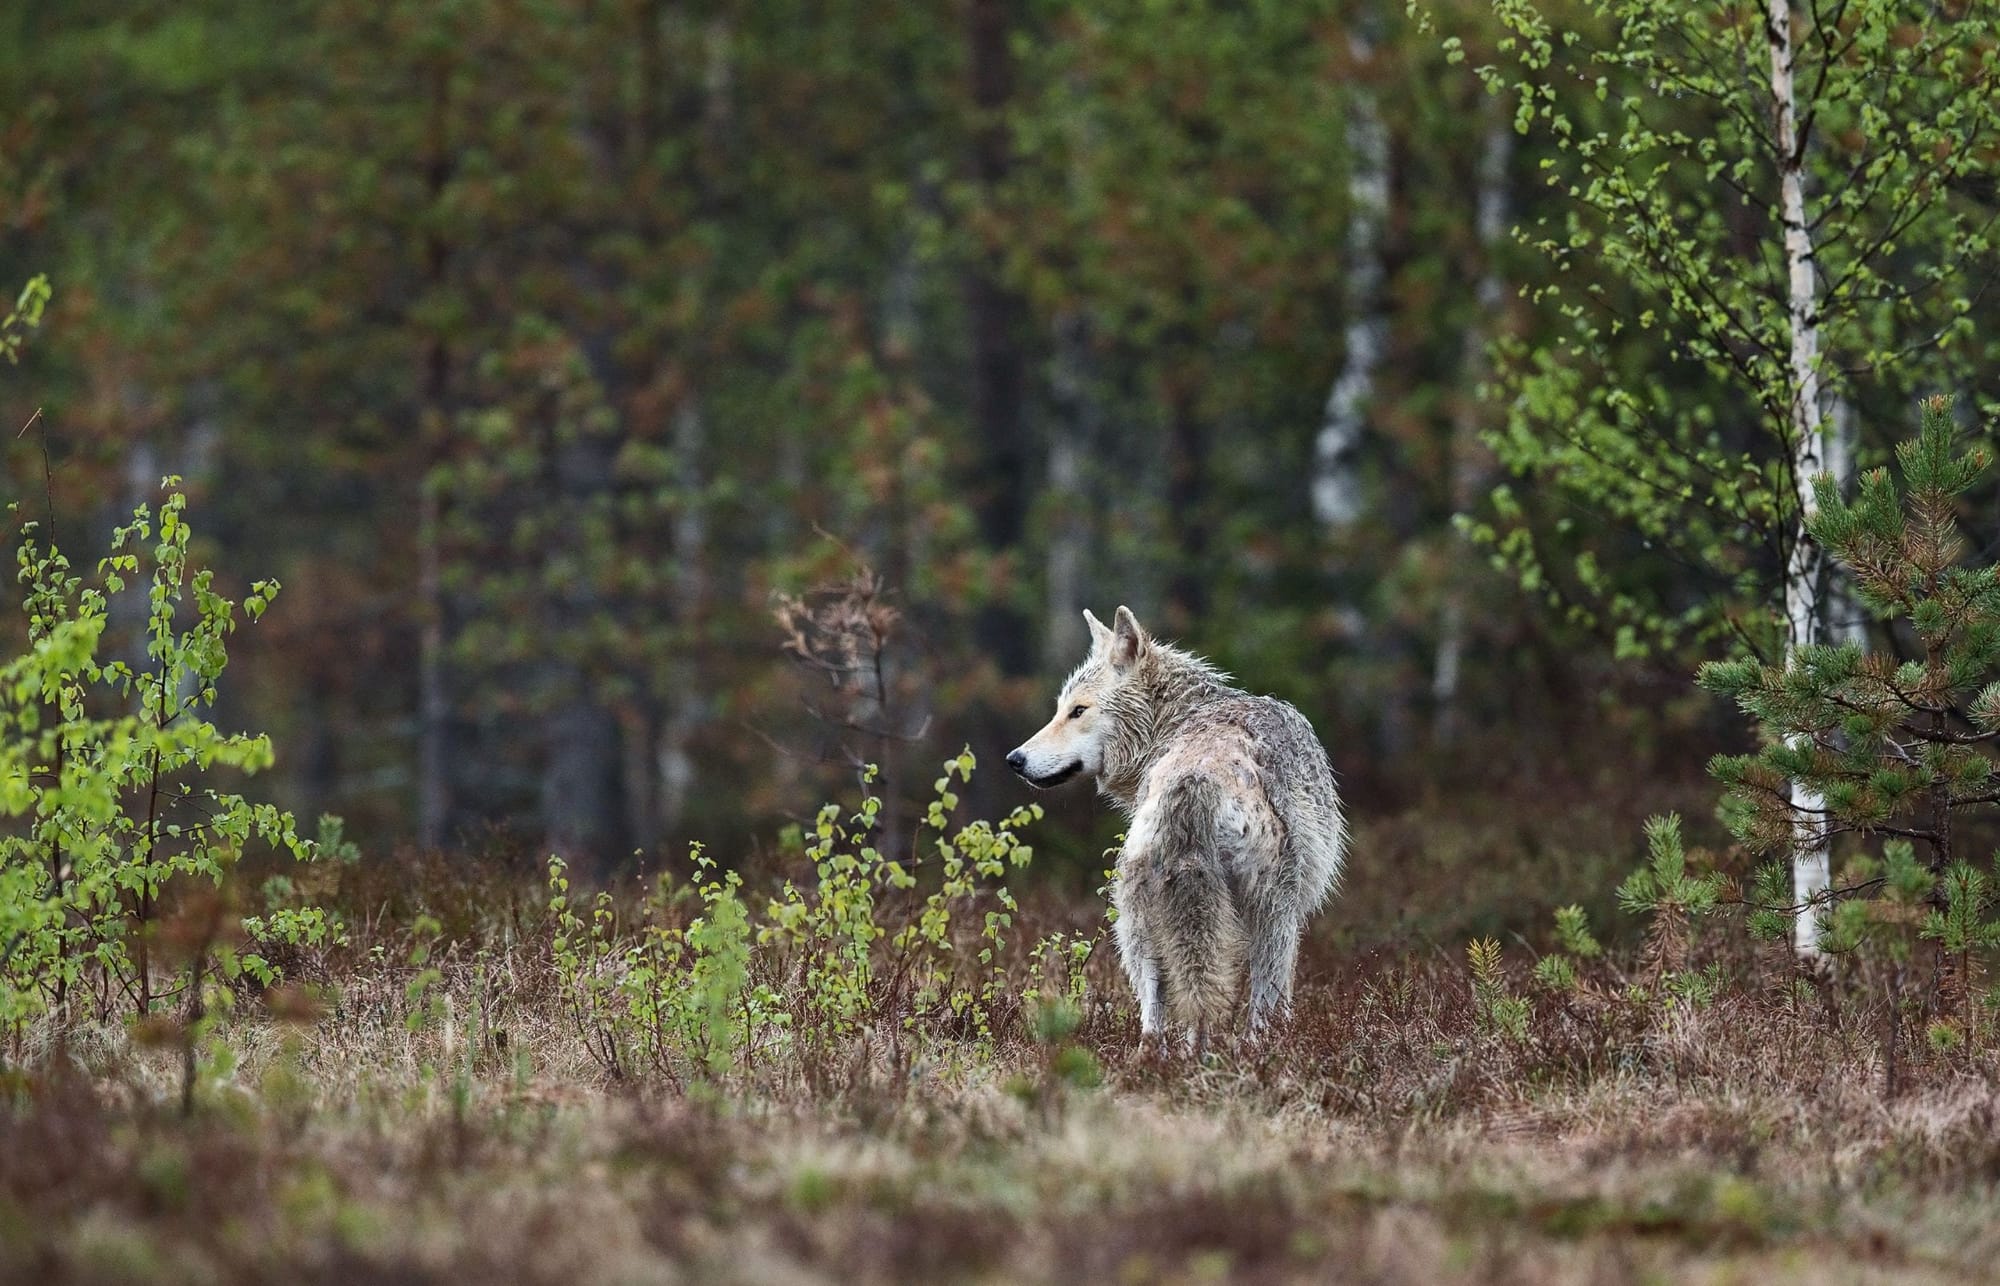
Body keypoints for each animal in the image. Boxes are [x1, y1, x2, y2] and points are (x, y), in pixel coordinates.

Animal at [1008, 608, 1352, 1048]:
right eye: (1061, 709)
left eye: (1077, 711)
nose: (1014, 759)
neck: (1174, 720)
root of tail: (1194, 779)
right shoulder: (1289, 912)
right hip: (1271, 913)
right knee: (1255, 1004)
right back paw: (1250, 1051)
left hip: (1139, 919)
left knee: (1159, 1010)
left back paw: (1161, 1058)